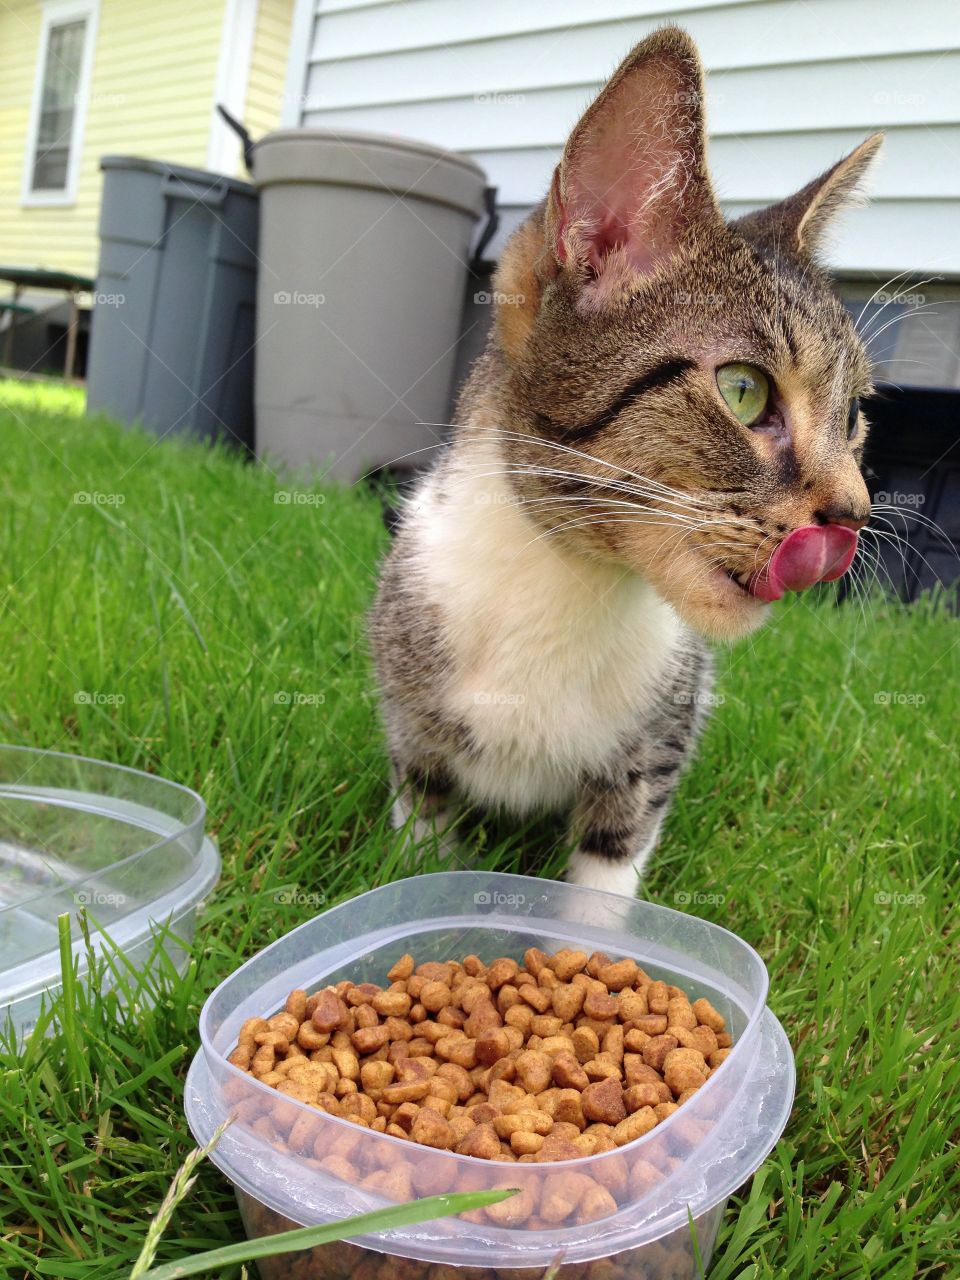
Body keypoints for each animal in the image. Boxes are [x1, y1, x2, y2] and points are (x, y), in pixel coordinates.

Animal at [371, 24, 885, 896]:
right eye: (743, 391)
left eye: (854, 417)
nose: (854, 514)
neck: (568, 582)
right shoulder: (408, 707)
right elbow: (423, 814)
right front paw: (414, 882)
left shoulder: (660, 737)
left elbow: (613, 849)